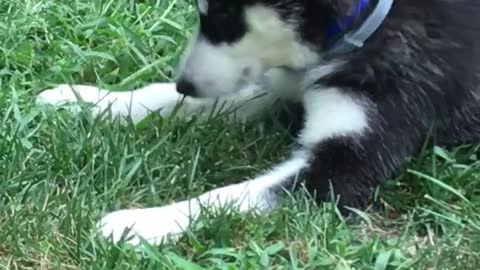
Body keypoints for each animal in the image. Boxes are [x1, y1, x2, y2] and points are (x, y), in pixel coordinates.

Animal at [36, 0, 480, 245]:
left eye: (225, 17)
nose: (186, 83)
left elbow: (227, 196)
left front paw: (141, 223)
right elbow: (165, 99)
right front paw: (88, 102)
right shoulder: (279, 82)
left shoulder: (346, 162)